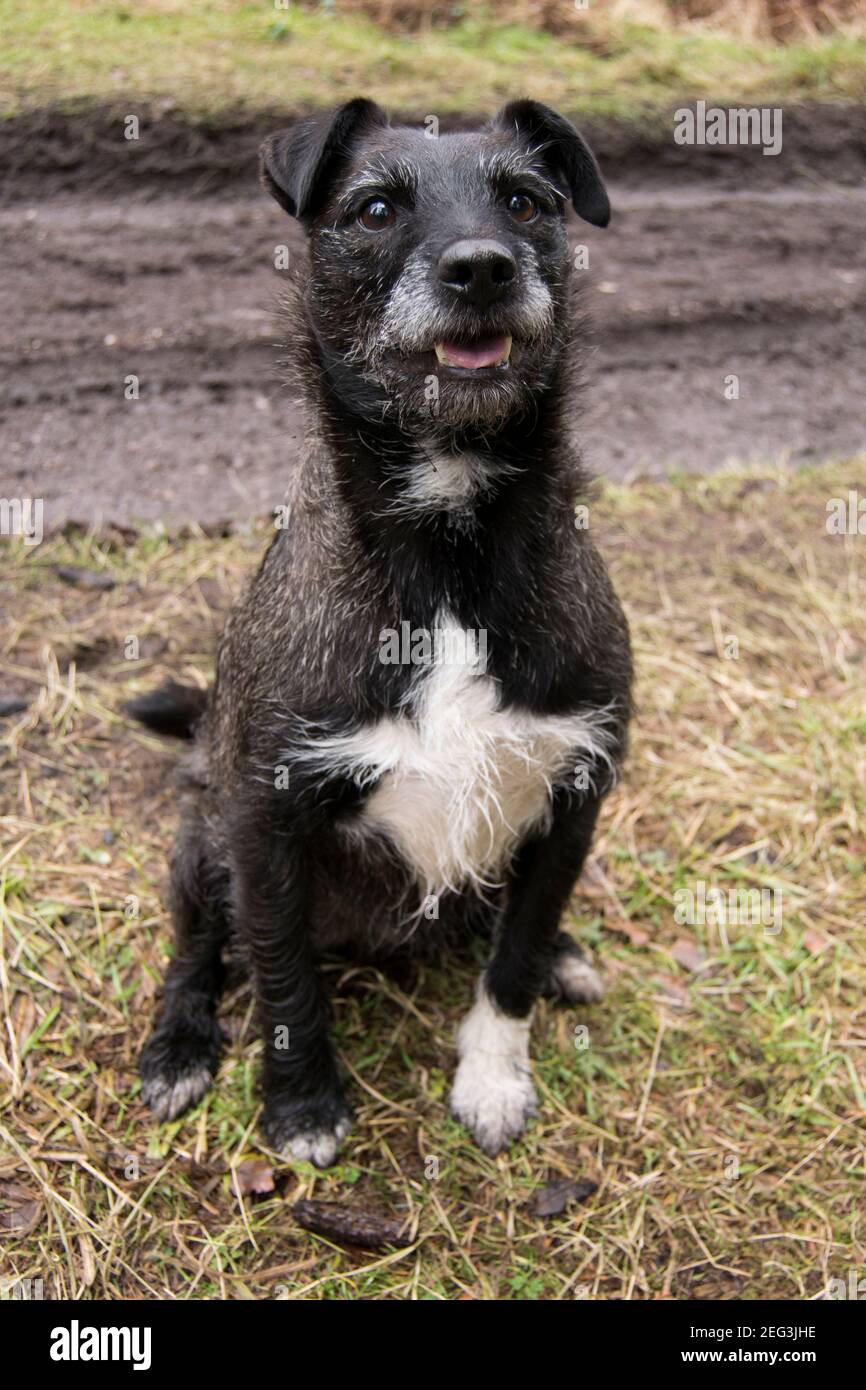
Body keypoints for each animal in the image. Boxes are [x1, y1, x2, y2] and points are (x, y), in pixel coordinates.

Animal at [128, 100, 631, 1162]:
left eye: (527, 202)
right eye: (373, 209)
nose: (482, 267)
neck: (449, 542)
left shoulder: (574, 798)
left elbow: (514, 959)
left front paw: (493, 1076)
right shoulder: (264, 822)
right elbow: (283, 977)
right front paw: (301, 1105)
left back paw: (565, 955)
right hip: (201, 837)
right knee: (198, 945)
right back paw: (180, 1041)